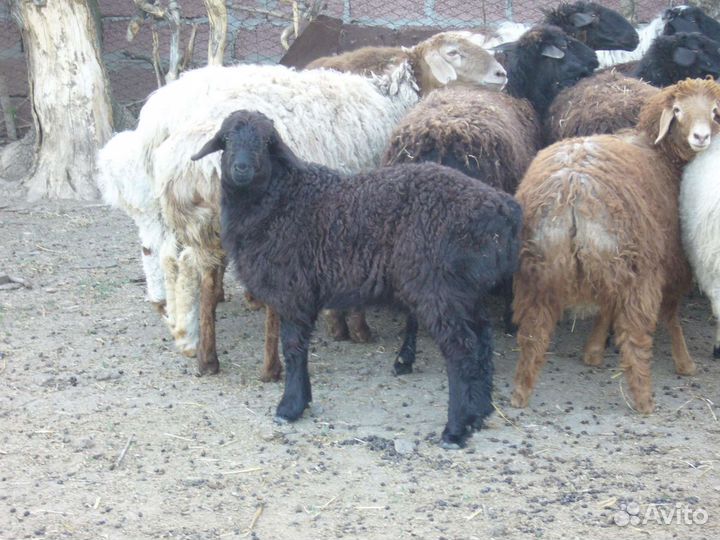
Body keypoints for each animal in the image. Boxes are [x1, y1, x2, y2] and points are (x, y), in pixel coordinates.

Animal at [192, 109, 522, 448]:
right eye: (226, 139)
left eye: (267, 142)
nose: (241, 168)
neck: (281, 200)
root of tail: (505, 210)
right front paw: (301, 401)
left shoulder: (294, 291)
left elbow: (294, 349)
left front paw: (290, 406)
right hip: (467, 290)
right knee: (482, 343)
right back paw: (479, 413)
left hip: (438, 289)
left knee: (462, 351)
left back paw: (455, 429)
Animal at [511, 78, 720, 413]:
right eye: (677, 110)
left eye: (714, 110)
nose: (701, 137)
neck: (661, 153)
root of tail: (572, 187)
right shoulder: (672, 257)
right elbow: (671, 313)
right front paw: (685, 362)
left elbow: (606, 305)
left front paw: (593, 352)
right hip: (638, 266)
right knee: (635, 336)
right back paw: (644, 400)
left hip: (538, 269)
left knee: (532, 331)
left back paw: (520, 392)